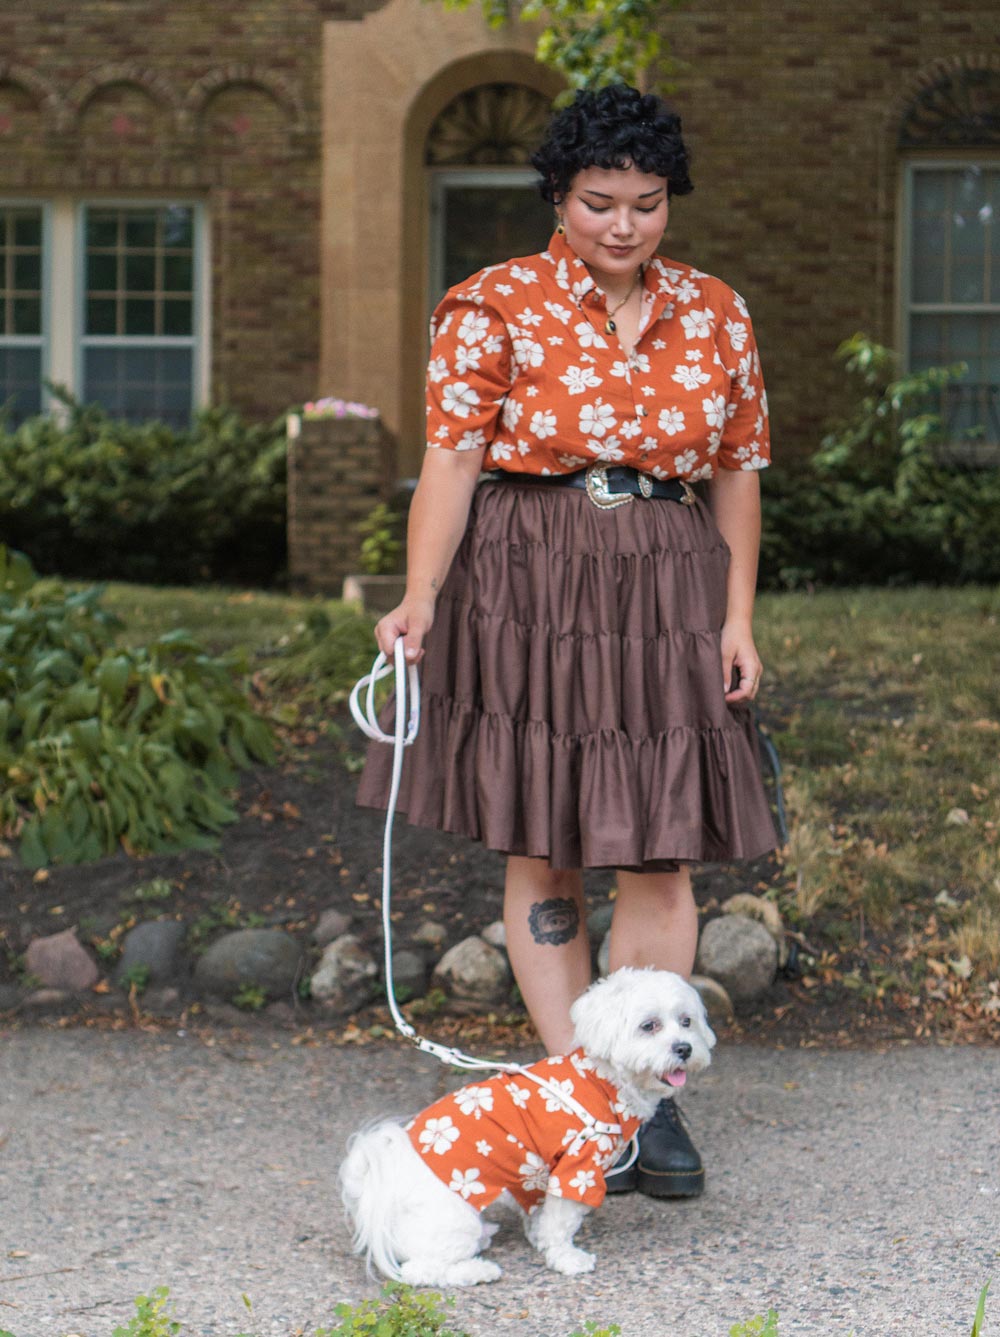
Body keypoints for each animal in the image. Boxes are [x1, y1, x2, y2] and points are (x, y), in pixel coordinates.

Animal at [339, 973, 716, 1283]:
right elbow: (561, 1222)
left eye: (687, 1021)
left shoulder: (541, 1176)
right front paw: (566, 1258)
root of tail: (376, 1189)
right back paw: (477, 1270)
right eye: (649, 1025)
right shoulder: (577, 1169)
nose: (684, 1048)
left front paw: (538, 1237)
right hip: (452, 1221)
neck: (604, 1081)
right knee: (422, 1270)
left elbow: (542, 1214)